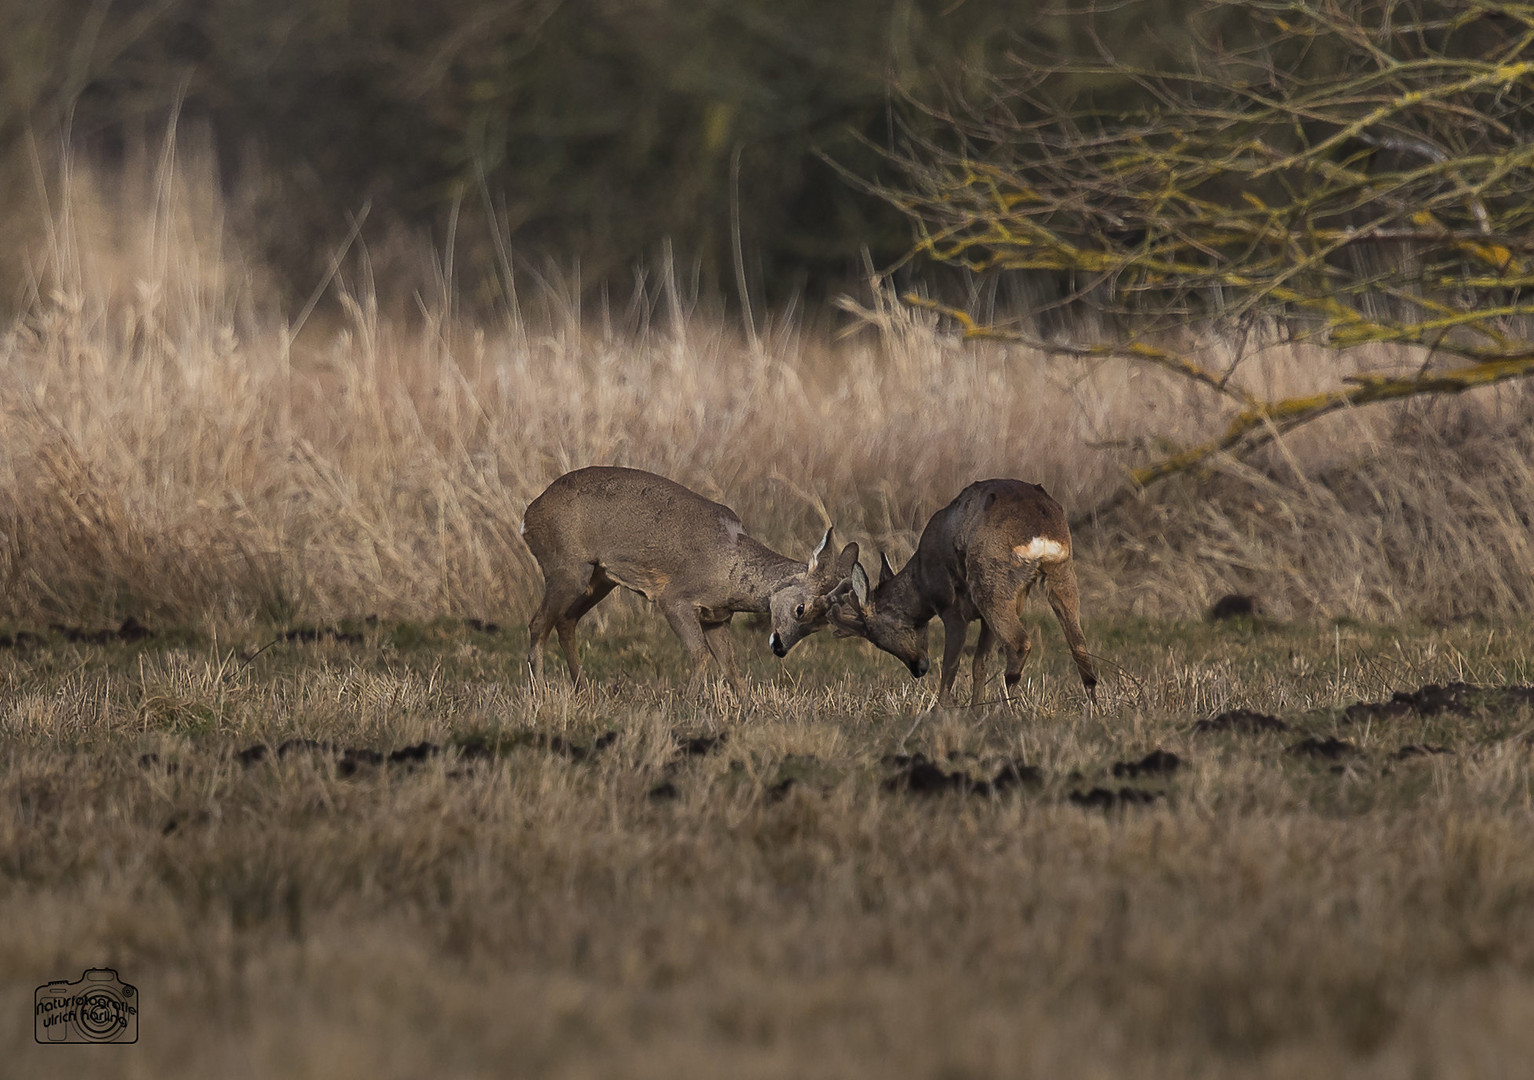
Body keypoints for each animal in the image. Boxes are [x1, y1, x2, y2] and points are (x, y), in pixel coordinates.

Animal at [521, 469, 859, 696]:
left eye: (821, 624)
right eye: (801, 608)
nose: (779, 648)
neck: (730, 569)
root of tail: (528, 516)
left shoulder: (717, 616)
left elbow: (730, 663)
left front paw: (747, 705)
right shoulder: (674, 598)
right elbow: (699, 653)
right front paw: (689, 701)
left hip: (600, 578)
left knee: (565, 620)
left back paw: (581, 689)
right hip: (567, 567)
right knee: (538, 623)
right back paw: (539, 692)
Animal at [803, 481, 1092, 708]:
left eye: (877, 638)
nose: (918, 668)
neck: (922, 581)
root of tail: (1041, 534)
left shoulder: (951, 607)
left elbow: (950, 666)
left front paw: (940, 709)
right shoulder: (981, 617)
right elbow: (979, 664)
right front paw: (975, 709)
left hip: (992, 581)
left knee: (1019, 643)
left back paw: (1008, 706)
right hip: (1061, 572)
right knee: (1079, 644)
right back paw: (1092, 706)